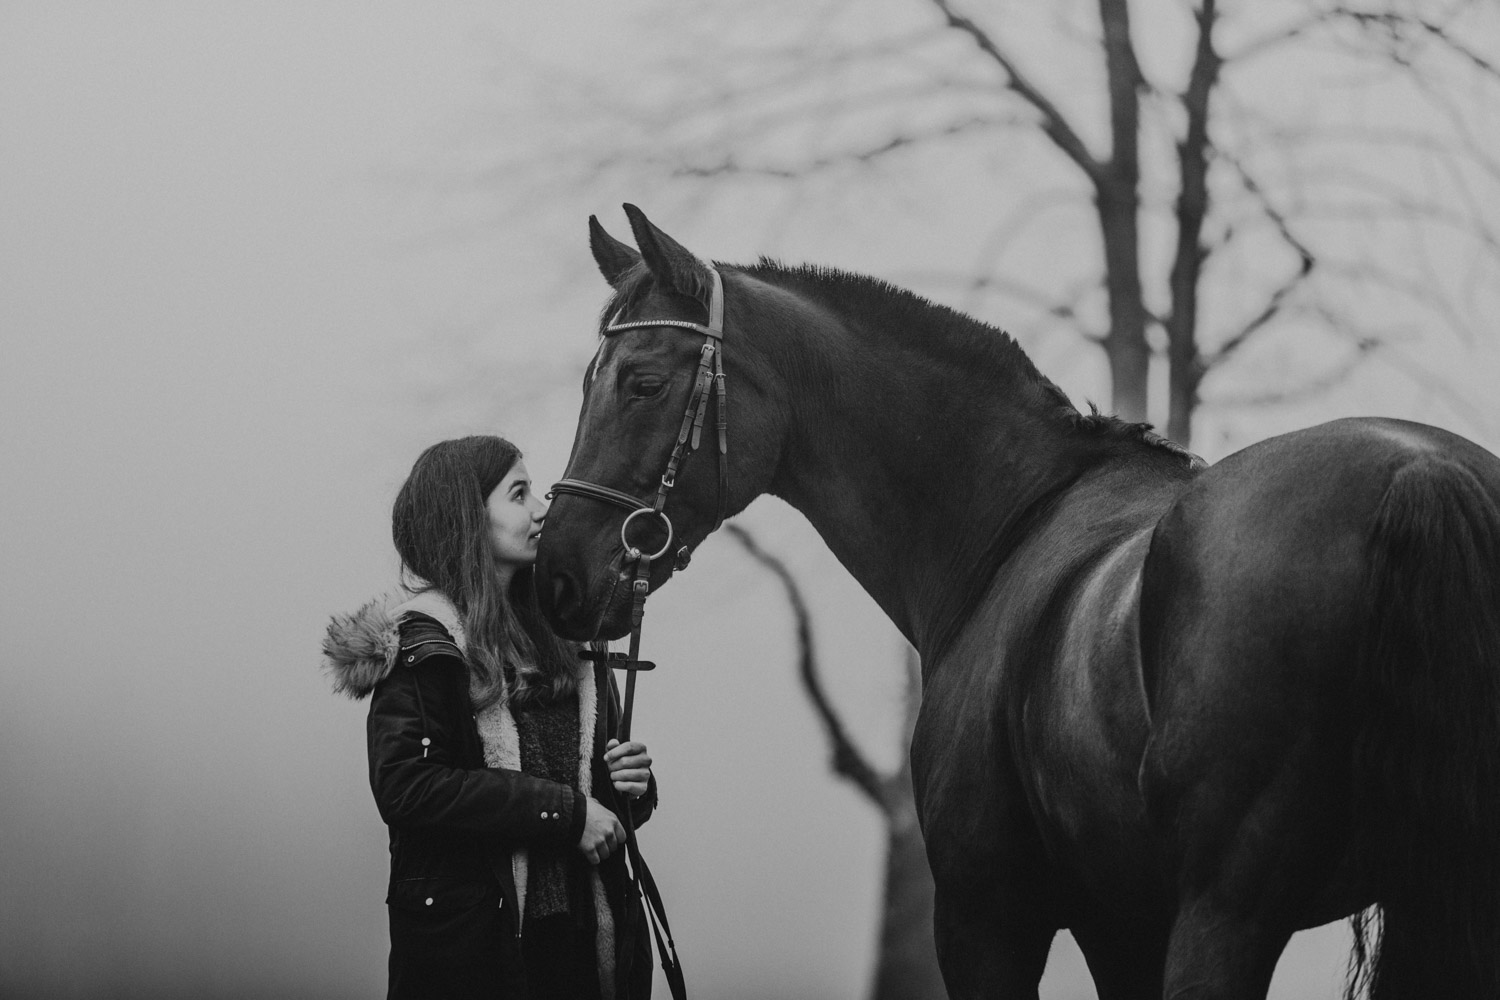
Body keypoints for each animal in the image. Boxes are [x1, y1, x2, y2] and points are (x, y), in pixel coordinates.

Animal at [534, 204, 1500, 1000]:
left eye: (643, 383)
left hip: (1228, 910)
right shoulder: (1122, 920)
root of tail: (1420, 472)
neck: (1009, 518)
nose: (557, 576)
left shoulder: (988, 914)